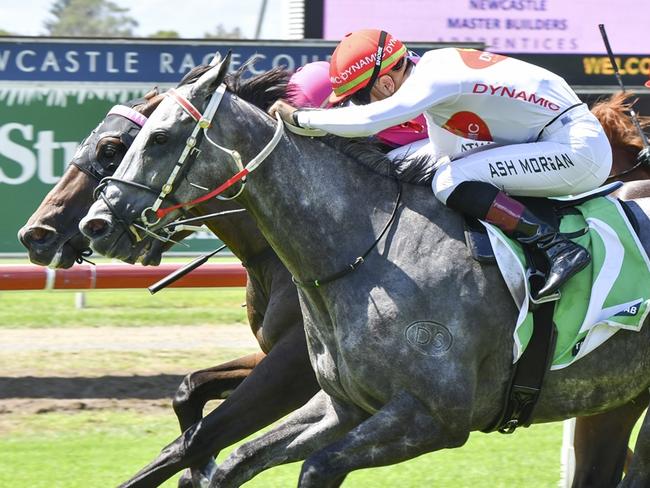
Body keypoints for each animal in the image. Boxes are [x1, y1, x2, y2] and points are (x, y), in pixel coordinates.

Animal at [79, 55, 648, 486]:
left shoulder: (431, 417)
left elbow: (311, 466)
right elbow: (231, 456)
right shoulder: (340, 406)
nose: (96, 223)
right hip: (615, 397)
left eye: (156, 139)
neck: (368, 250)